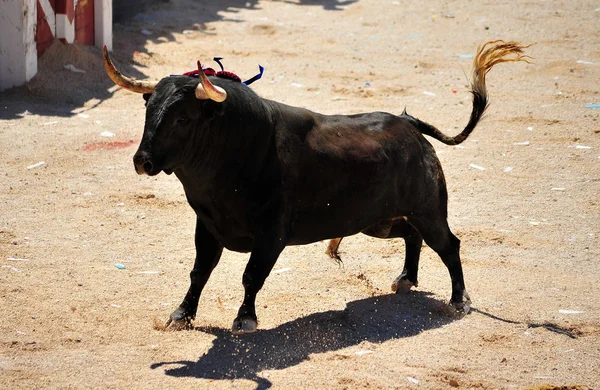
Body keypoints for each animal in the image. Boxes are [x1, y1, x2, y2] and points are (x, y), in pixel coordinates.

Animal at [105, 41, 528, 334]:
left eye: (183, 119)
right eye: (148, 111)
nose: (142, 161)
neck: (236, 150)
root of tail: (409, 124)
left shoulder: (272, 232)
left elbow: (251, 275)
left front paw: (245, 321)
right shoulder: (207, 225)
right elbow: (200, 272)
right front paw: (181, 315)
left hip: (427, 208)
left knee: (448, 244)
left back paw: (459, 301)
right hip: (379, 222)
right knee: (413, 236)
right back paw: (405, 279)